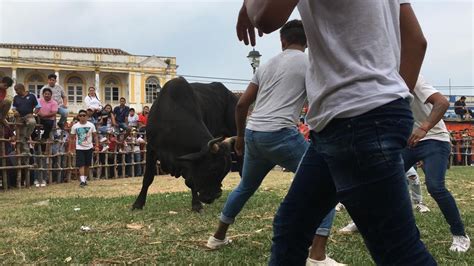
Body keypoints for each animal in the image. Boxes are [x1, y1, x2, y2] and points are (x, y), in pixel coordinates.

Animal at [133, 77, 244, 212]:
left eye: (224, 172)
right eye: (213, 169)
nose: (216, 195)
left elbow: (192, 182)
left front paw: (196, 204)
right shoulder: (151, 148)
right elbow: (148, 177)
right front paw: (138, 204)